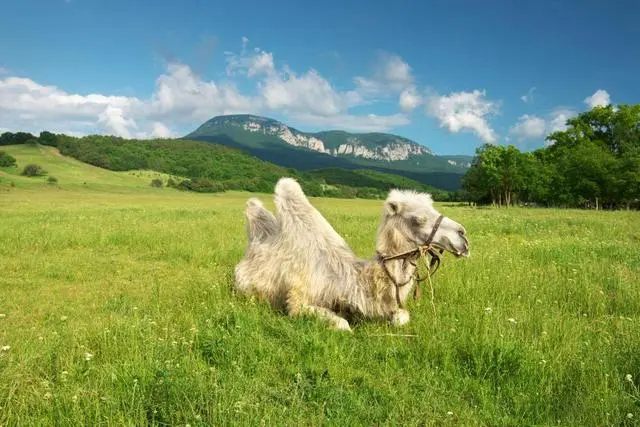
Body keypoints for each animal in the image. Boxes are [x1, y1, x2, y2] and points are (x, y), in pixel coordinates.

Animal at [232, 177, 468, 332]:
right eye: (418, 219)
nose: (463, 237)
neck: (352, 279)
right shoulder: (298, 300)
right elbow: (342, 324)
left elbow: (402, 317)